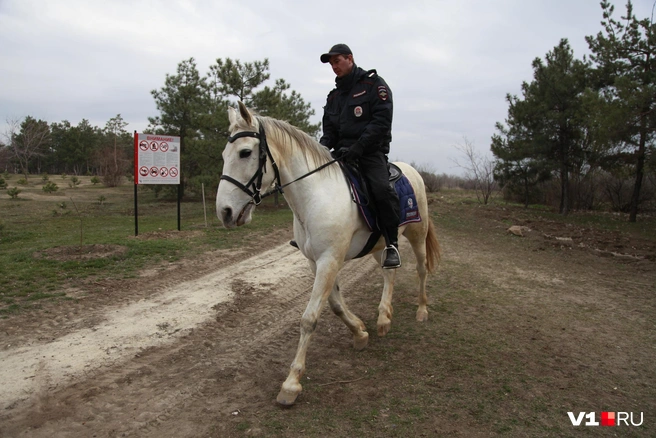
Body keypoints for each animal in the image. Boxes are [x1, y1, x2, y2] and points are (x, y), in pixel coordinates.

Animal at [217, 102, 440, 408]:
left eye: (245, 153)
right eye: (224, 155)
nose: (224, 212)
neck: (316, 196)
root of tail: (412, 171)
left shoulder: (329, 261)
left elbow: (309, 318)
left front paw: (291, 383)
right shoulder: (317, 262)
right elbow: (334, 304)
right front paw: (360, 332)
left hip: (417, 235)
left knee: (420, 269)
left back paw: (421, 311)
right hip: (382, 245)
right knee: (389, 272)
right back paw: (383, 318)